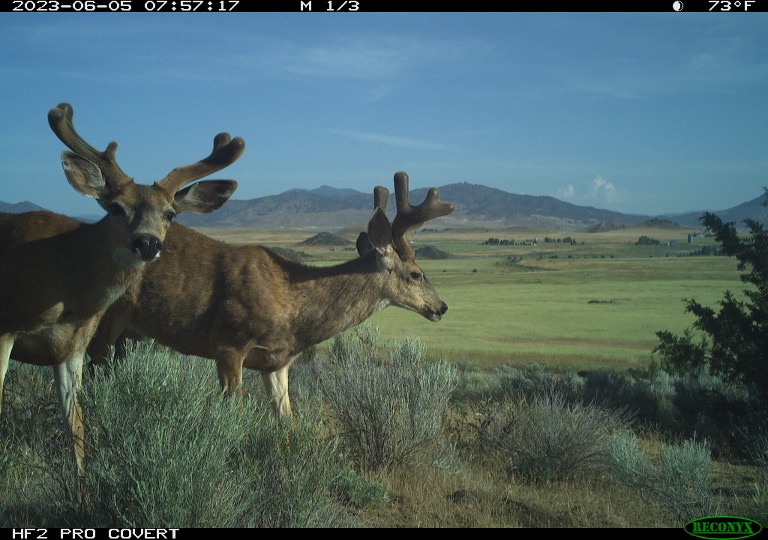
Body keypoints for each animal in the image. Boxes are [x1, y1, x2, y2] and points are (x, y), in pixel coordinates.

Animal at [0, 103, 245, 475]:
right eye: (116, 207)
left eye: (170, 213)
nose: (148, 242)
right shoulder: (5, 327)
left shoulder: (73, 349)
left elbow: (77, 427)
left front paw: (82, 488)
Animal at [87, 171, 454, 421]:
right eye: (416, 273)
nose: (442, 306)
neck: (291, 310)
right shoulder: (228, 343)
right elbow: (232, 412)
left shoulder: (276, 363)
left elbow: (286, 419)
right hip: (102, 317)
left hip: (131, 333)